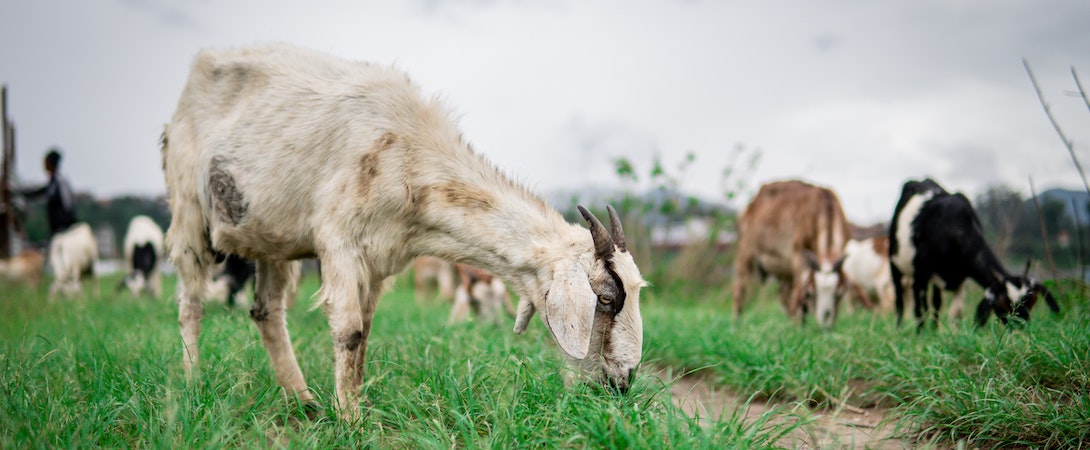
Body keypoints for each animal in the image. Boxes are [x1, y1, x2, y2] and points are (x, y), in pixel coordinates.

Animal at [162, 43, 644, 420]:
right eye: (605, 299)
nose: (624, 381)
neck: (409, 156)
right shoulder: (339, 240)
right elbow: (349, 330)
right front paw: (351, 421)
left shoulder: (379, 259)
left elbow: (366, 333)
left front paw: (353, 405)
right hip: (188, 206)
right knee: (191, 303)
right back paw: (192, 382)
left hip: (271, 239)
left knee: (266, 311)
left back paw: (303, 400)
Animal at [732, 180, 850, 327]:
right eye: (811, 293)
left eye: (839, 293)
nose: (825, 322)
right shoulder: (799, 255)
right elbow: (798, 291)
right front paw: (800, 326)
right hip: (746, 249)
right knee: (740, 287)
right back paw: (737, 322)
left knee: (782, 294)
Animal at [889, 178, 1059, 329]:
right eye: (1001, 304)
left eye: (1031, 301)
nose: (1020, 329)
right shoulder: (920, 273)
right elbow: (919, 310)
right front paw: (920, 335)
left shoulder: (960, 278)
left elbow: (956, 313)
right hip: (896, 264)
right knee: (901, 301)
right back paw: (899, 328)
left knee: (936, 302)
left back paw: (934, 329)